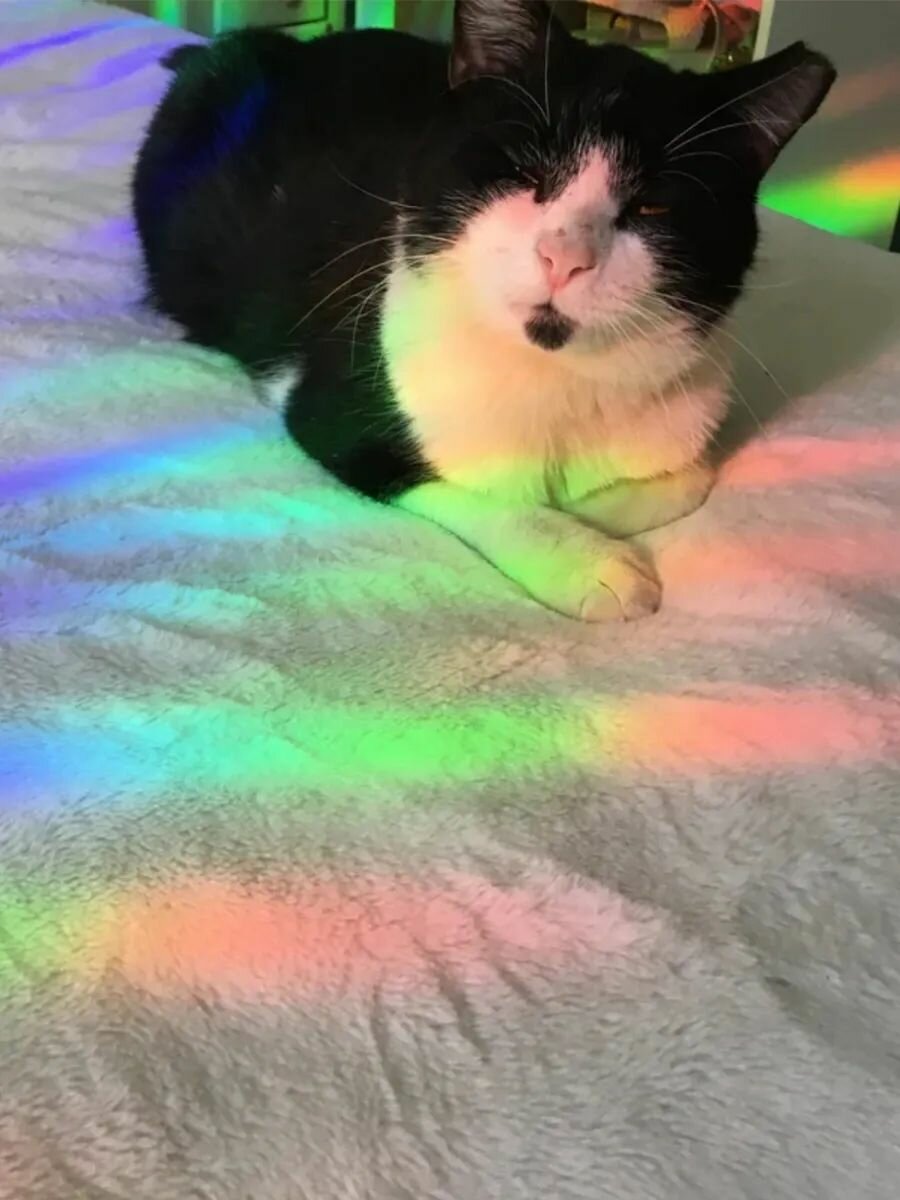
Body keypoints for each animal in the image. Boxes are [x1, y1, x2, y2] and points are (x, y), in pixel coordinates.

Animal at [133, 0, 834, 621]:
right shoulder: (335, 409)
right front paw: (587, 559)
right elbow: (463, 488)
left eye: (654, 207)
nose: (565, 257)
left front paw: (588, 517)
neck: (558, 380)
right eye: (525, 172)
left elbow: (695, 475)